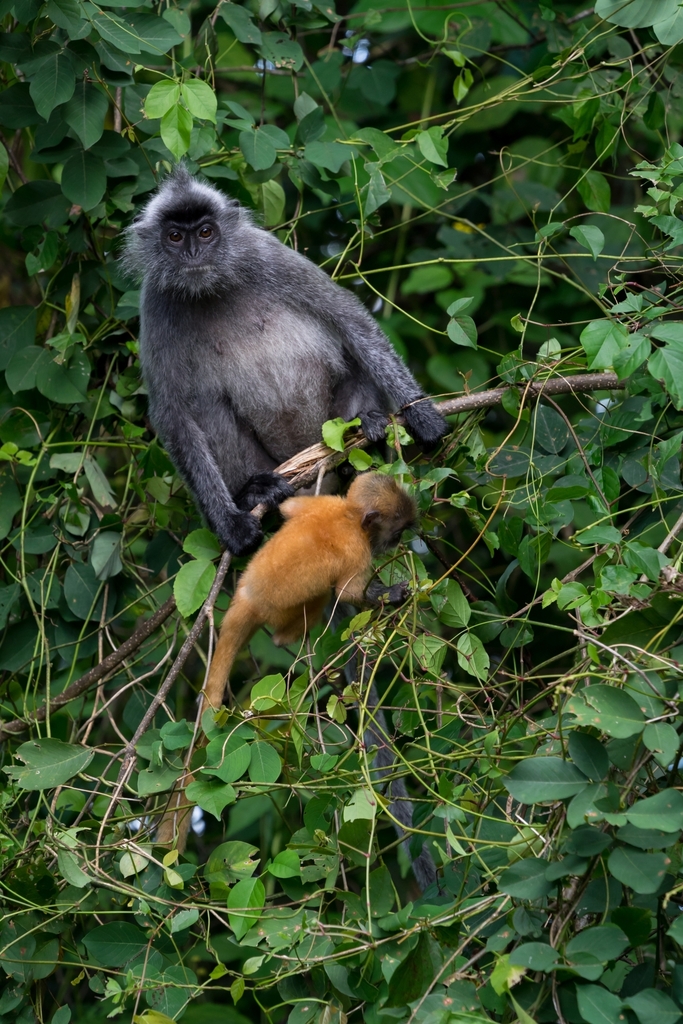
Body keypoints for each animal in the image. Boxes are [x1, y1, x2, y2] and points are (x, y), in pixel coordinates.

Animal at [123, 166, 448, 556]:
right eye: (174, 236)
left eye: (205, 232)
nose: (192, 253)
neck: (210, 289)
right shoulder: (157, 301)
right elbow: (173, 412)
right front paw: (229, 524)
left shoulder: (263, 254)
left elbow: (350, 320)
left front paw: (421, 413)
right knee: (206, 407)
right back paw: (253, 492)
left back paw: (363, 431)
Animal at [156, 472, 438, 890]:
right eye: (398, 530)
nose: (399, 543)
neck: (349, 515)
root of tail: (246, 598)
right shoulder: (357, 549)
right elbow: (349, 592)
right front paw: (394, 594)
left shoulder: (325, 504)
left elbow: (292, 509)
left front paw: (270, 496)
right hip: (286, 612)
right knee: (315, 603)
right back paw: (290, 637)